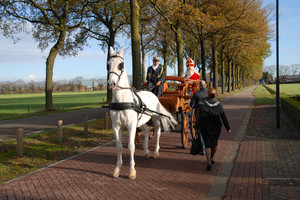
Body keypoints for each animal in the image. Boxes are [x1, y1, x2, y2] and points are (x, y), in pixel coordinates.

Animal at [108, 47, 177, 180]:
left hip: (155, 118)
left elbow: (131, 146)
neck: (122, 100)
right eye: (108, 64)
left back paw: (155, 152)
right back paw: (146, 152)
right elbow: (119, 147)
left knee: (157, 133)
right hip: (140, 122)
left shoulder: (131, 126)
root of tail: (152, 93)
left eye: (121, 65)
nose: (111, 84)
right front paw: (117, 169)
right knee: (146, 130)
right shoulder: (116, 126)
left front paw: (132, 171)